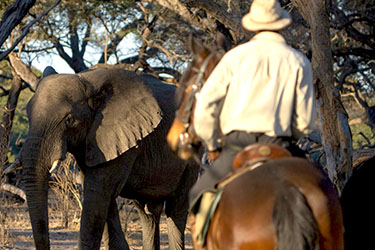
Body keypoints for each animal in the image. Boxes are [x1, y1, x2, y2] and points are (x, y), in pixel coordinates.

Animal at [19, 67, 201, 250]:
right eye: (28, 114)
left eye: (70, 120)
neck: (89, 83)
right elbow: (103, 196)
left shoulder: (123, 138)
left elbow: (98, 193)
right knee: (147, 212)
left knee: (176, 208)